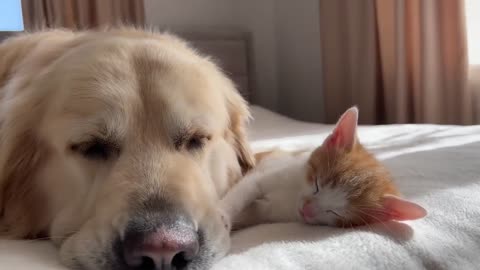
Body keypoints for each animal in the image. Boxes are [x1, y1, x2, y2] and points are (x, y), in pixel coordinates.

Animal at [219, 106, 426, 229]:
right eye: (317, 183)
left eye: (335, 212)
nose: (307, 209)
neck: (293, 195)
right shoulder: (269, 171)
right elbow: (245, 191)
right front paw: (222, 215)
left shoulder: (273, 211)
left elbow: (252, 212)